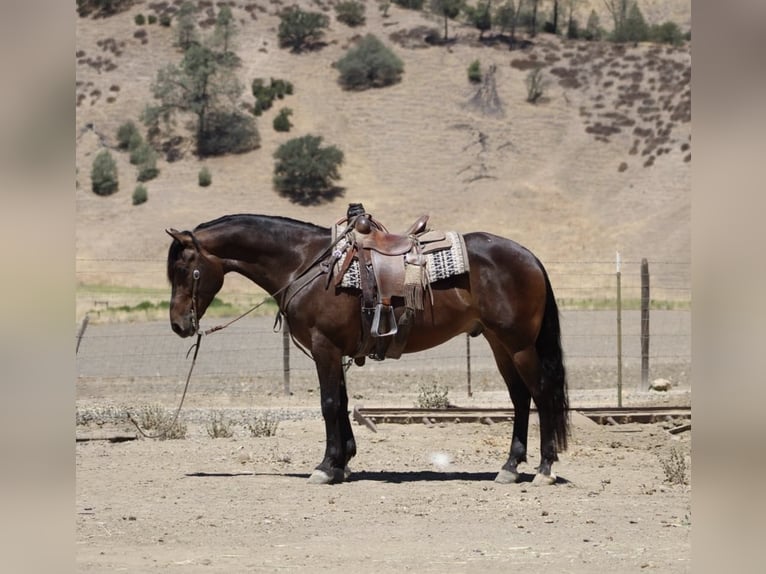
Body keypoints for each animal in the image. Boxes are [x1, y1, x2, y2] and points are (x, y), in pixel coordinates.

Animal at [166, 212, 569, 485]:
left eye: (185, 270)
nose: (178, 325)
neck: (306, 263)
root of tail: (529, 257)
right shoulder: (335, 350)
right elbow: (342, 402)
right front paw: (343, 462)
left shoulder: (324, 347)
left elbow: (328, 404)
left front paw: (326, 467)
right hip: (499, 343)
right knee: (520, 398)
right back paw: (510, 467)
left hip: (519, 344)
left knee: (541, 393)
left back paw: (544, 469)